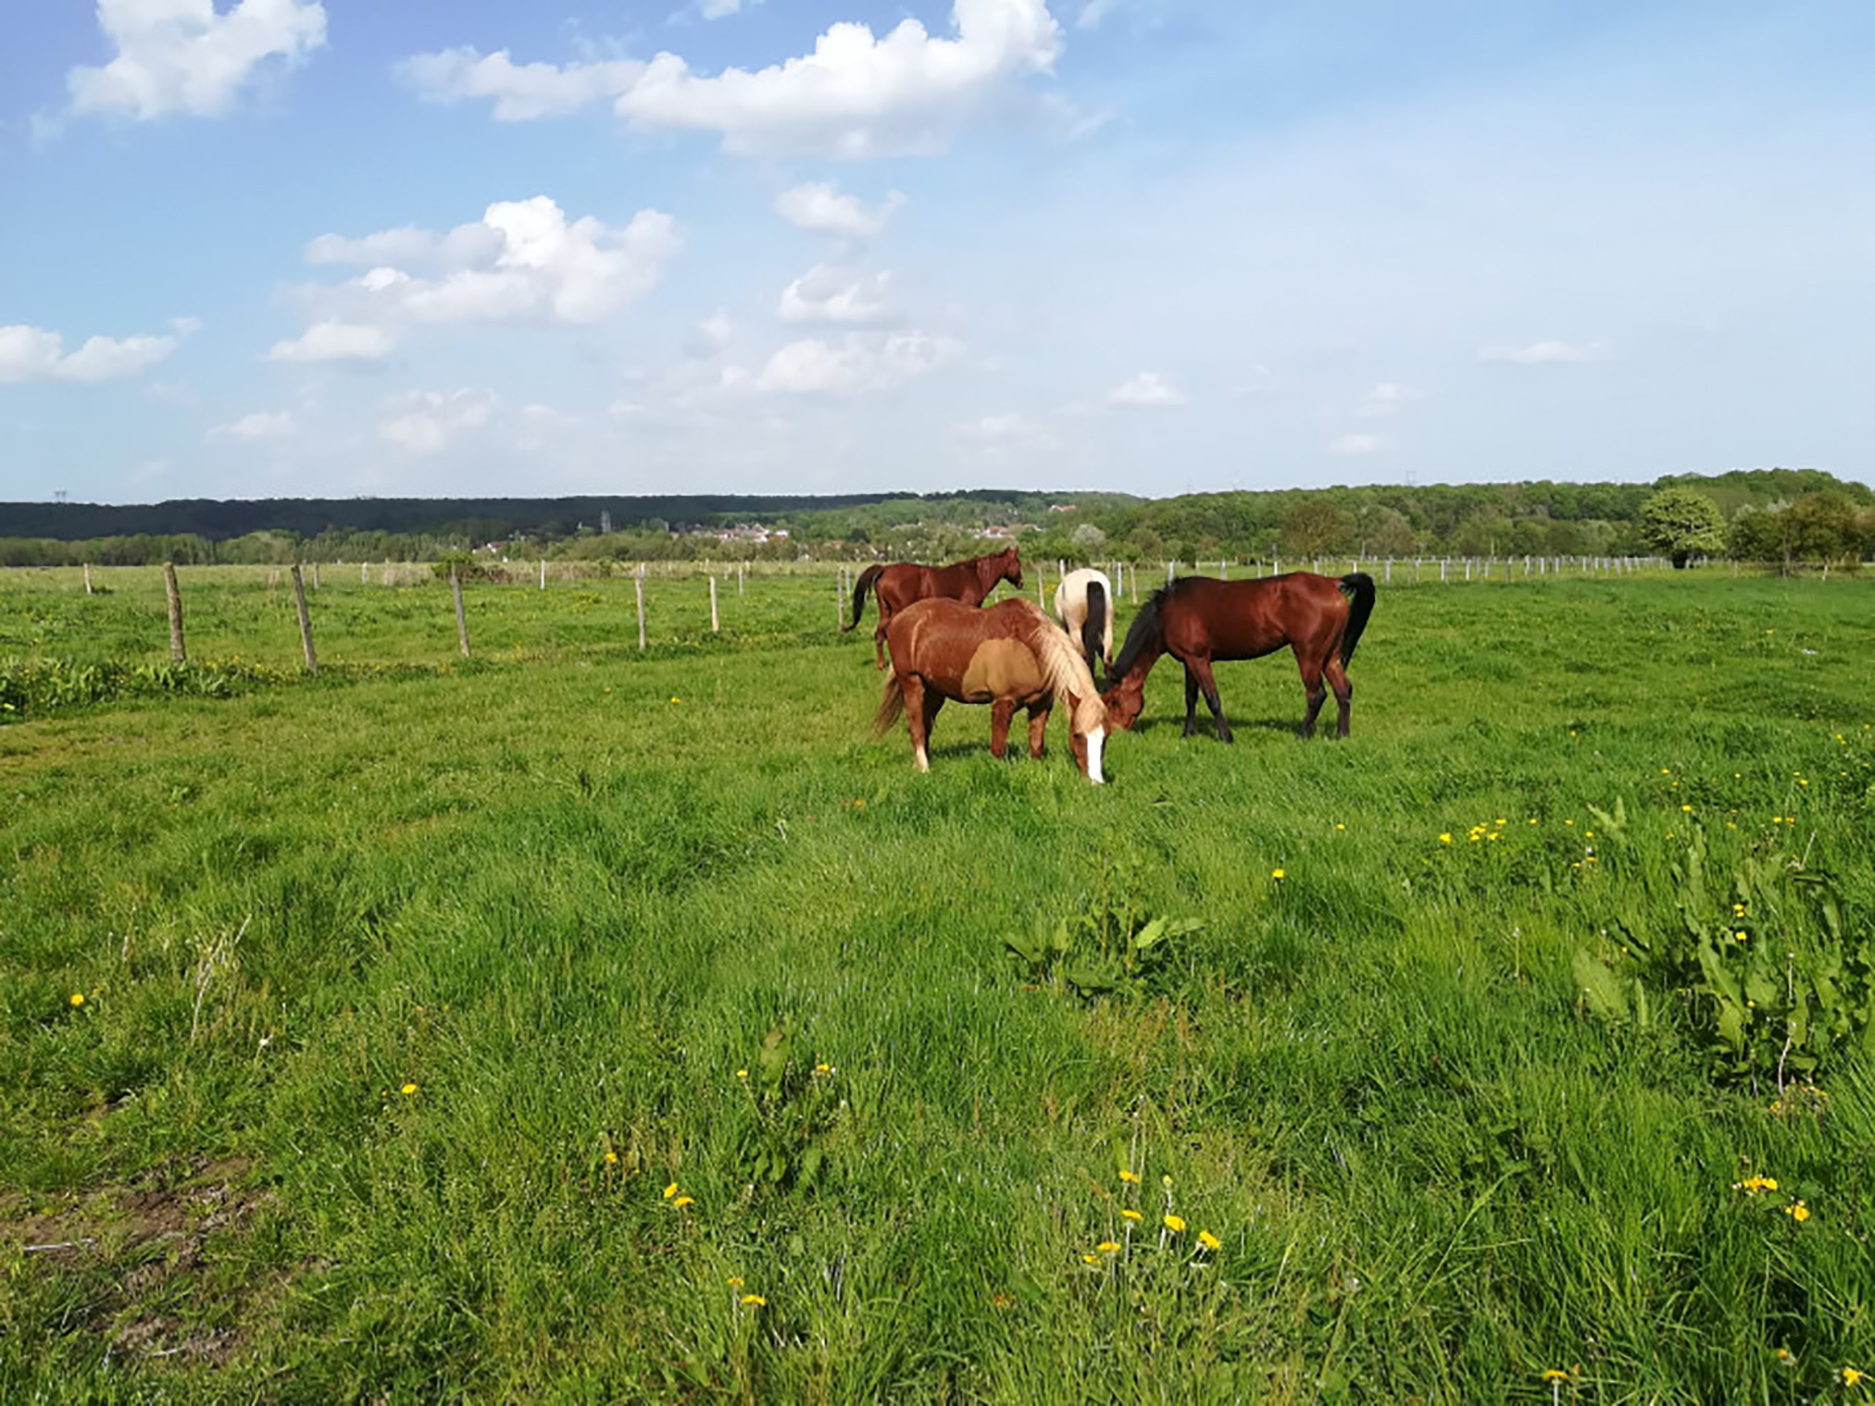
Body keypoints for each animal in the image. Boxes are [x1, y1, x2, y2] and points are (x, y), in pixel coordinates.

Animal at [851, 543, 1027, 671]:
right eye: (1018, 563)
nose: (1021, 583)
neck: (976, 576)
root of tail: (885, 569)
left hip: (885, 611)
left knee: (879, 635)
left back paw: (881, 665)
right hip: (896, 611)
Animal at [870, 596, 1102, 787]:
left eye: (1105, 736)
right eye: (1077, 735)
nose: (1095, 781)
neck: (1029, 644)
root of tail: (900, 619)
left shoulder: (1041, 705)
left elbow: (1036, 746)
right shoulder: (1003, 703)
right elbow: (998, 750)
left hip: (935, 692)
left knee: (926, 725)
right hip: (912, 683)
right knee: (916, 727)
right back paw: (924, 768)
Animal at [1095, 573, 1380, 749]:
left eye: (1113, 701)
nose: (1114, 732)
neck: (1167, 611)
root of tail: (1332, 582)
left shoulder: (1199, 660)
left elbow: (1212, 698)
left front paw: (1226, 737)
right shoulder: (1189, 661)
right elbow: (1191, 698)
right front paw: (1188, 733)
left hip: (1308, 655)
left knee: (1316, 694)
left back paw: (1302, 735)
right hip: (1330, 657)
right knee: (1343, 691)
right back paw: (1342, 735)